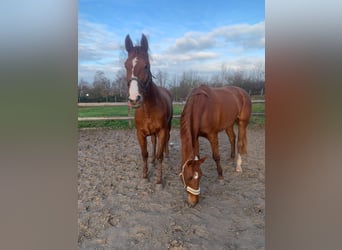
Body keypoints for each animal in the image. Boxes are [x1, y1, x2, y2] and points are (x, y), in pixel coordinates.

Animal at [124, 33, 172, 186]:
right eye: (126, 65)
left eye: (146, 66)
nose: (134, 99)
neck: (148, 108)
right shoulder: (140, 133)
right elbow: (144, 153)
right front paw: (145, 176)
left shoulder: (162, 131)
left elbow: (160, 154)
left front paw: (159, 180)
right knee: (153, 143)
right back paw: (152, 161)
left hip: (168, 127)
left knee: (166, 141)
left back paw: (167, 155)